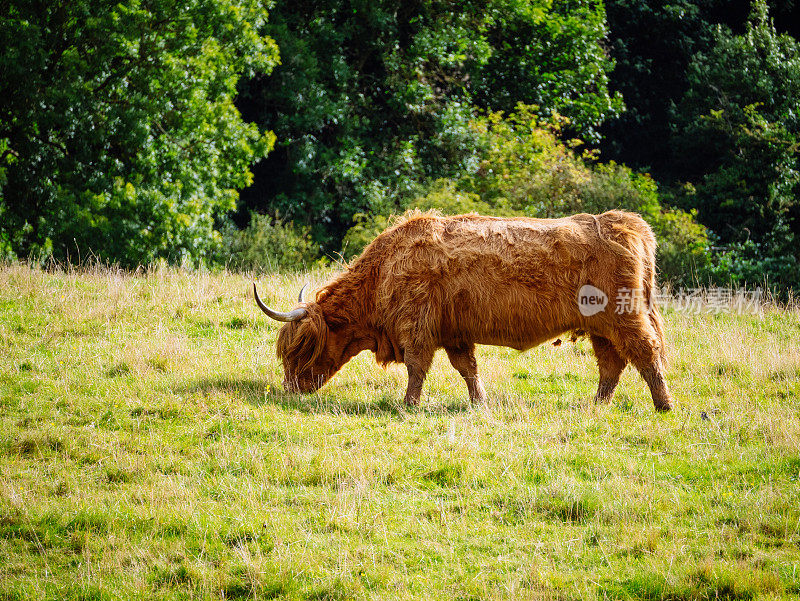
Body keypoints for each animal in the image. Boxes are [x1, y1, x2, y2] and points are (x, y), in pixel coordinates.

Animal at [253, 209, 672, 410]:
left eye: (300, 348)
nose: (289, 389)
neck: (382, 273)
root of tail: (626, 222)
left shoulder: (417, 327)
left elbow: (417, 367)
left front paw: (409, 405)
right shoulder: (454, 334)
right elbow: (467, 368)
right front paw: (479, 402)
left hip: (626, 317)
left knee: (645, 352)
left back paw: (664, 405)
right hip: (602, 327)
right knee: (612, 364)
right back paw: (596, 405)